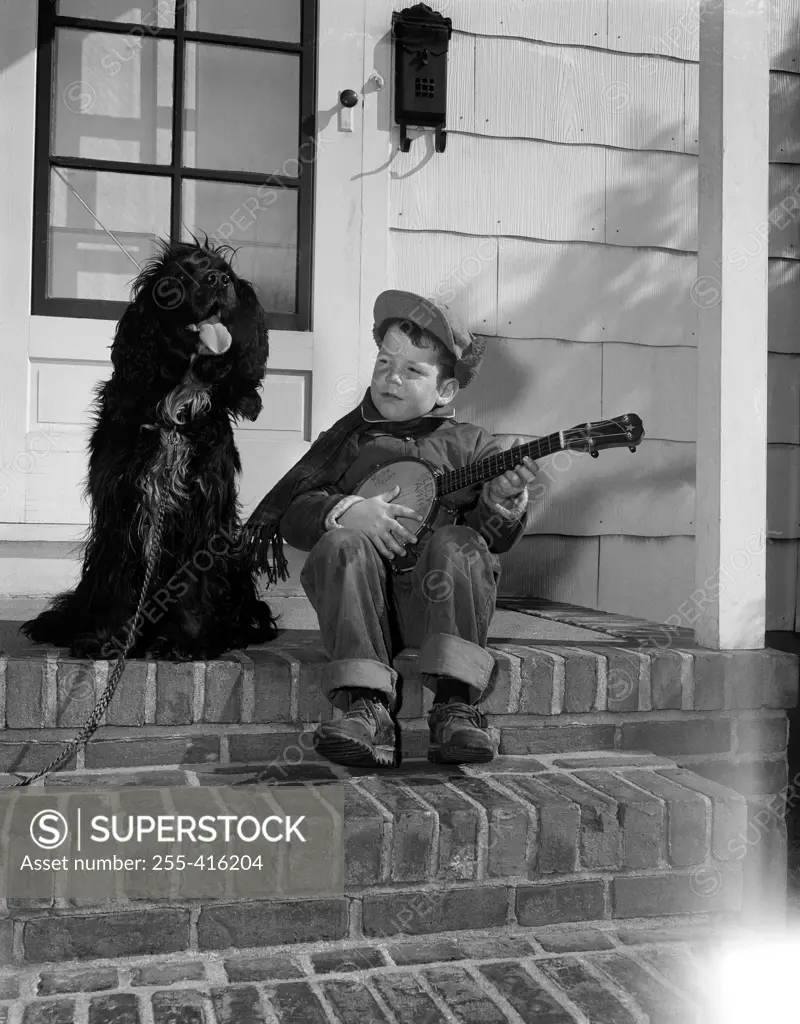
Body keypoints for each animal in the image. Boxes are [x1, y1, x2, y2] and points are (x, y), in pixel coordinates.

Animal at [21, 236, 278, 659]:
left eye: (227, 271)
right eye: (181, 275)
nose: (218, 280)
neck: (175, 408)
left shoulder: (203, 511)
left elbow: (193, 583)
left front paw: (185, 641)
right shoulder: (121, 505)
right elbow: (118, 579)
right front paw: (108, 638)